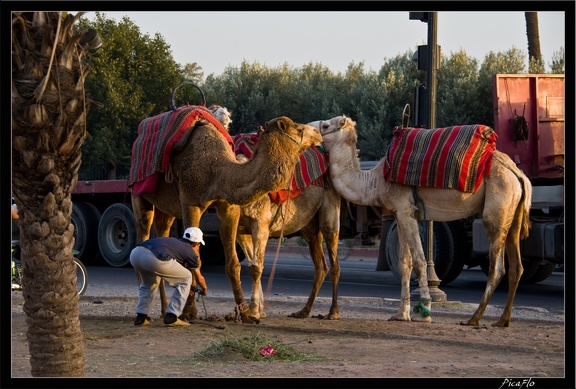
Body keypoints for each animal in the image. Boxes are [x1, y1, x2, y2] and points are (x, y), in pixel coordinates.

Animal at [129, 109, 324, 322]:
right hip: (138, 194)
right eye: (298, 128)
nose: (318, 133)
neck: (217, 169)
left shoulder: (229, 207)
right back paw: (147, 313)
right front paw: (190, 312)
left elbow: (233, 263)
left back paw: (164, 309)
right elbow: (194, 260)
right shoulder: (190, 203)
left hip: (167, 209)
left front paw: (245, 313)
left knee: (162, 235)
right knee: (142, 233)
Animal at [312, 113, 532, 326]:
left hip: (496, 208)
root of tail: (519, 175)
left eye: (326, 126)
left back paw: (474, 318)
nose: (308, 128)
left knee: (497, 267)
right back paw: (502, 320)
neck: (374, 181)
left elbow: (419, 260)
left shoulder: (405, 209)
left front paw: (424, 312)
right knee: (517, 266)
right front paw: (401, 314)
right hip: (513, 212)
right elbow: (404, 262)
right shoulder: (400, 213)